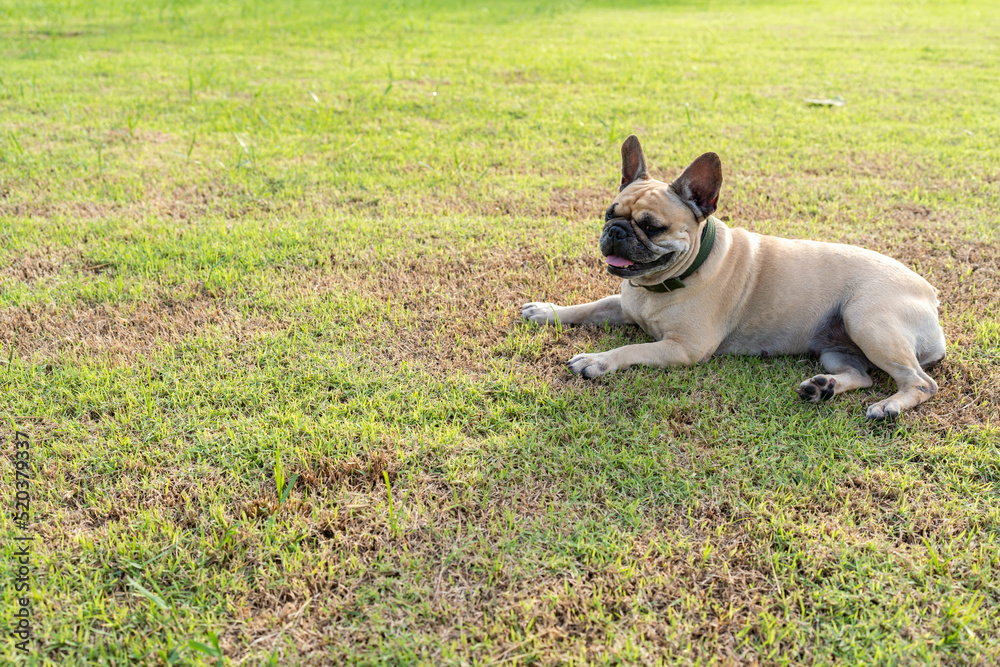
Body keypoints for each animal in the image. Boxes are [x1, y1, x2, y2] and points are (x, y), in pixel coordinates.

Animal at [524, 133, 944, 420]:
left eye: (652, 227)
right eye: (609, 214)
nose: (616, 231)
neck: (662, 285)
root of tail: (931, 296)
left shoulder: (683, 348)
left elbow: (632, 349)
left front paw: (597, 360)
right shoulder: (623, 305)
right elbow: (589, 307)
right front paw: (547, 311)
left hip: (867, 320)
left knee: (922, 382)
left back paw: (889, 406)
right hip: (835, 347)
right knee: (862, 375)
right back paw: (822, 387)